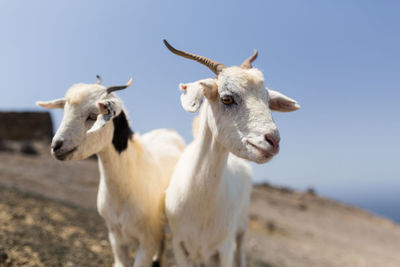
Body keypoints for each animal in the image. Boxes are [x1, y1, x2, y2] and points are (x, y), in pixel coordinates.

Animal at [36, 76, 185, 266]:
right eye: (65, 111)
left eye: (93, 115)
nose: (56, 146)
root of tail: (169, 131)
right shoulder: (115, 236)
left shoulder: (148, 240)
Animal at [163, 40, 300, 267]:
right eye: (226, 98)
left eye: (267, 100)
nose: (273, 140)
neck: (201, 204)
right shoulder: (179, 244)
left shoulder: (224, 249)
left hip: (242, 225)